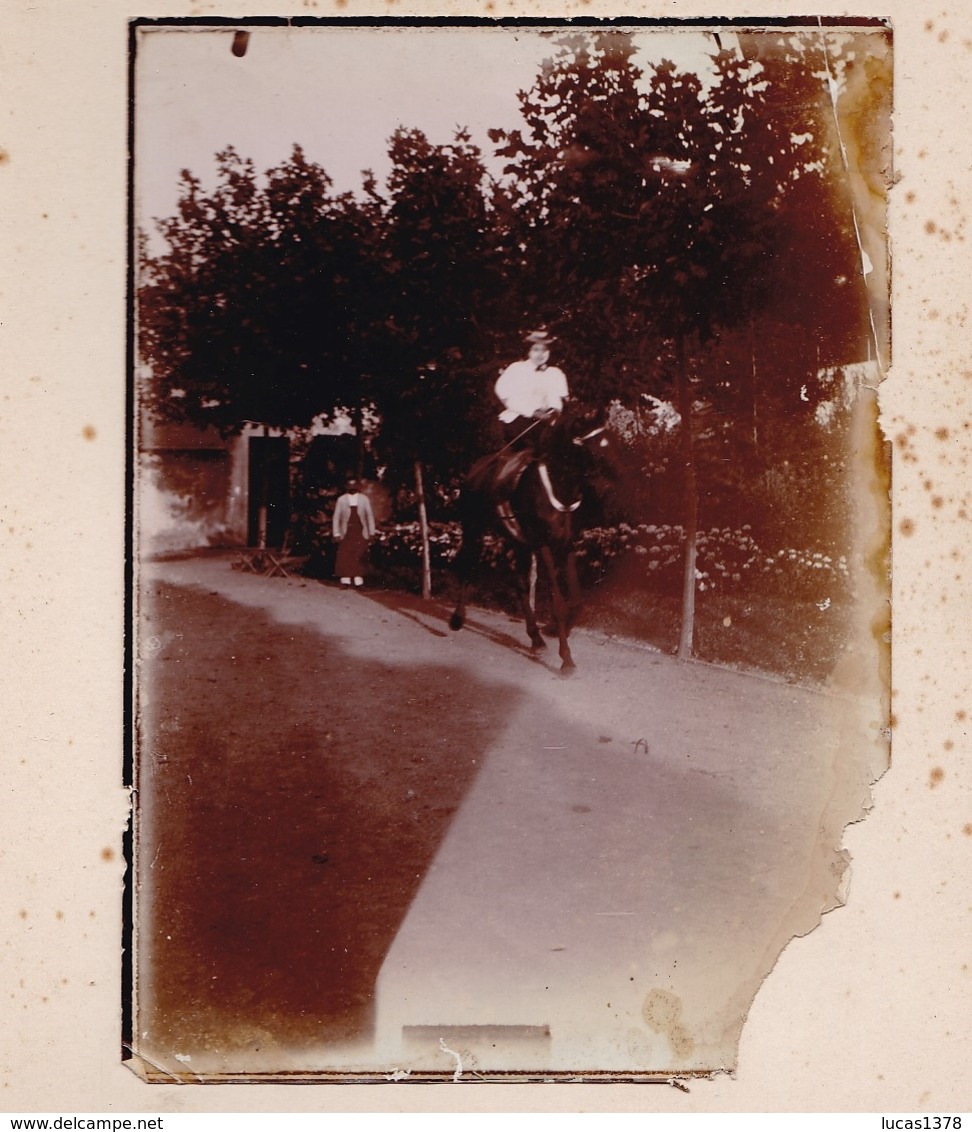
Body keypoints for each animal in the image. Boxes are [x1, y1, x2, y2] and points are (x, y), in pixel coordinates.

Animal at [450, 407, 606, 670]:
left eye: (608, 441)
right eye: (583, 443)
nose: (602, 485)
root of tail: (475, 471)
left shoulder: (566, 545)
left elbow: (576, 599)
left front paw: (554, 631)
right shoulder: (543, 545)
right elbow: (558, 602)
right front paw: (566, 658)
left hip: (516, 542)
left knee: (521, 585)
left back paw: (536, 637)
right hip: (474, 529)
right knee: (468, 566)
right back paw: (457, 618)